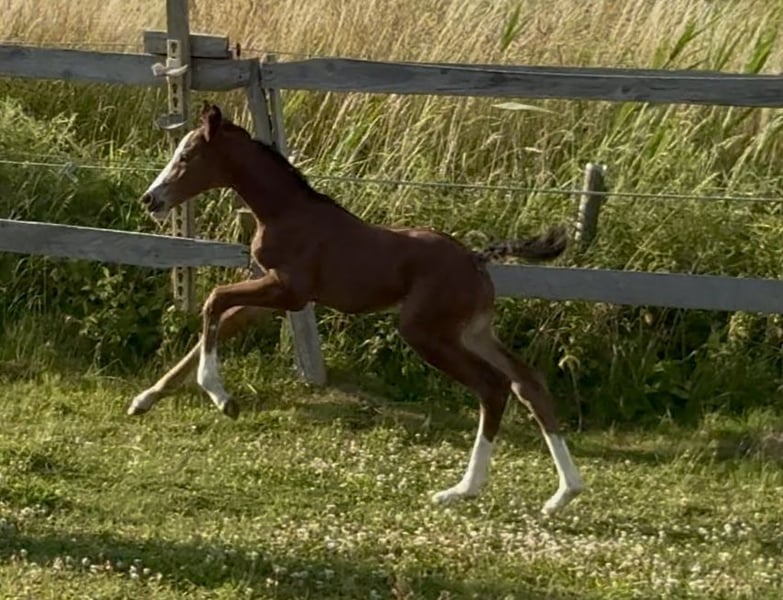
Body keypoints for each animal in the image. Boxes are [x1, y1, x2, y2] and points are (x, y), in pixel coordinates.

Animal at [129, 102, 583, 516]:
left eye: (186, 157)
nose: (150, 199)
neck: (286, 213)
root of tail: (477, 259)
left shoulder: (287, 292)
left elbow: (214, 300)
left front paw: (221, 396)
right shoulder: (272, 298)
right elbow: (218, 322)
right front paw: (145, 399)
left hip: (426, 332)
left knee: (493, 387)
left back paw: (462, 489)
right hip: (473, 331)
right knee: (528, 382)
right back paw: (563, 493)